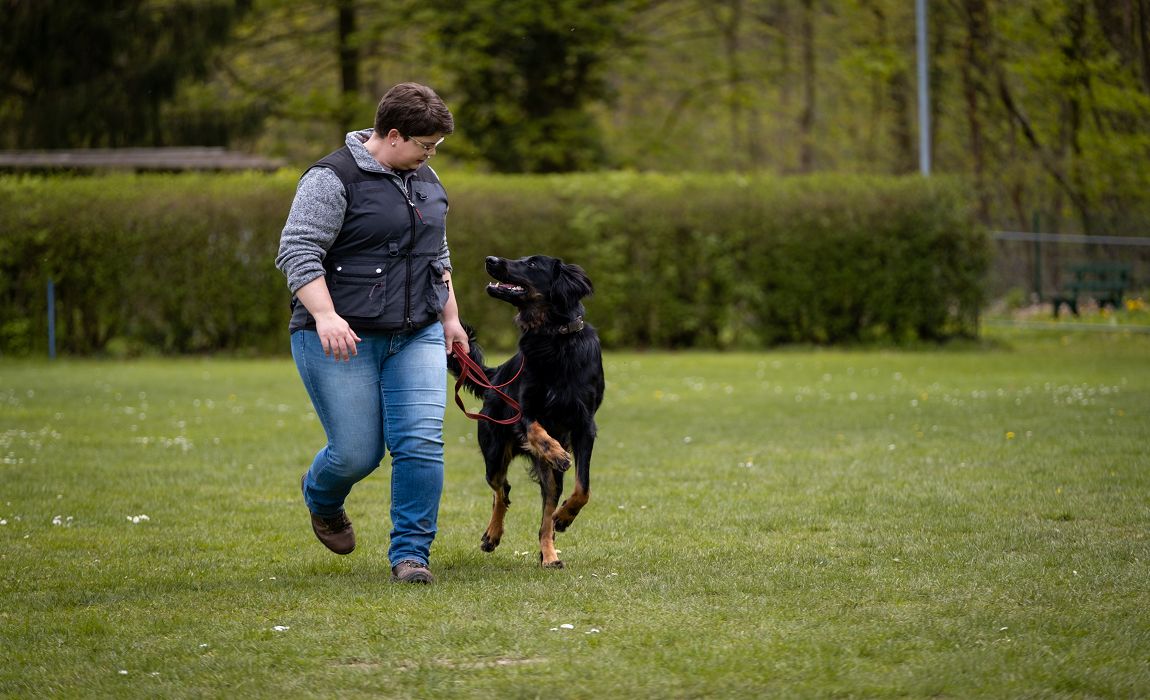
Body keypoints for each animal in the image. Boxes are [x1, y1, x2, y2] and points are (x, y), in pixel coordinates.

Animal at [448, 254, 607, 565]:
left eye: (532, 264)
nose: (490, 259)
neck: (553, 337)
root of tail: (495, 375)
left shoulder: (585, 425)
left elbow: (583, 488)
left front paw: (565, 516)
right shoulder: (525, 410)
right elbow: (536, 431)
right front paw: (555, 450)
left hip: (549, 478)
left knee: (544, 518)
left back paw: (550, 554)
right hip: (494, 453)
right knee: (501, 490)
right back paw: (492, 535)